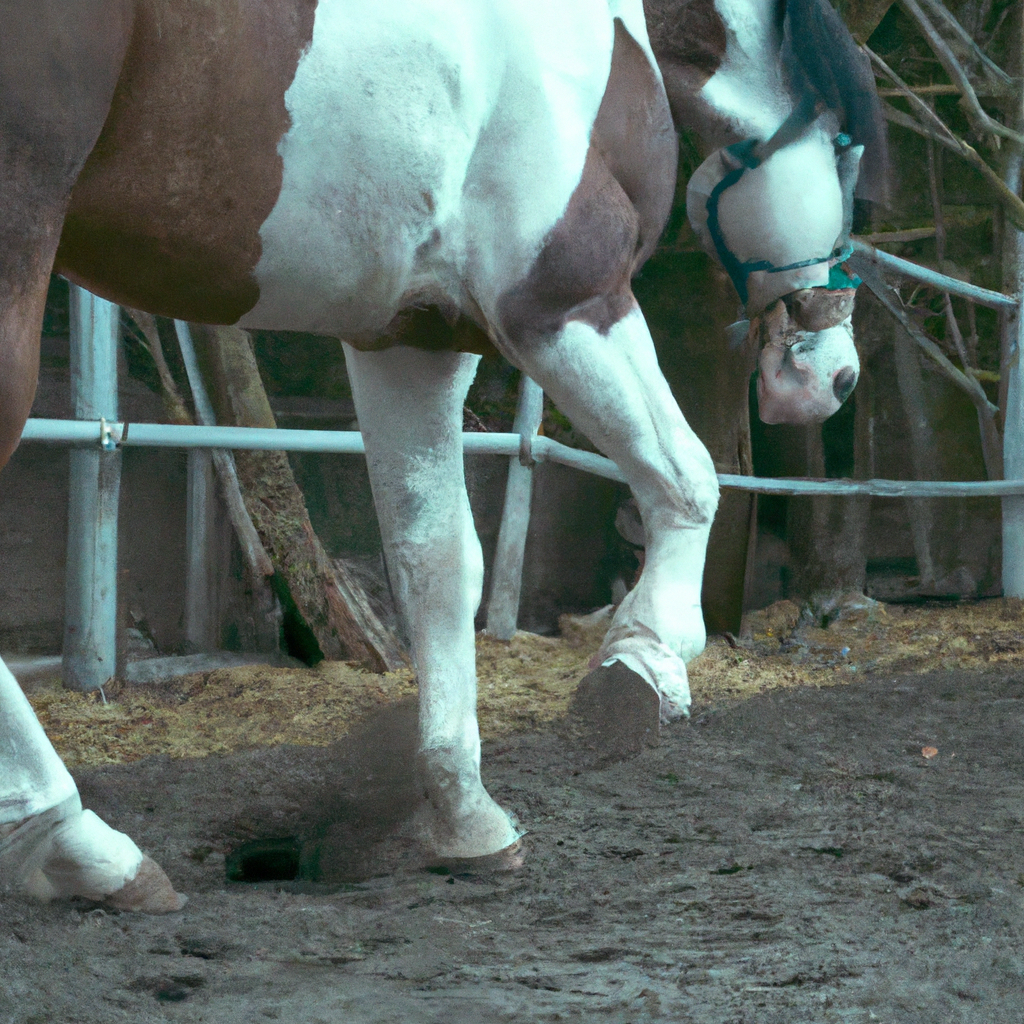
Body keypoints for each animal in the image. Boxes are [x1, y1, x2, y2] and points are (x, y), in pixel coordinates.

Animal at [0, 0, 884, 913]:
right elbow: (686, 478)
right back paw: (78, 842)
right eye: (848, 157)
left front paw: (464, 816)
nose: (836, 377)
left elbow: (438, 563)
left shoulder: (412, 344)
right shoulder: (564, 306)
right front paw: (644, 664)